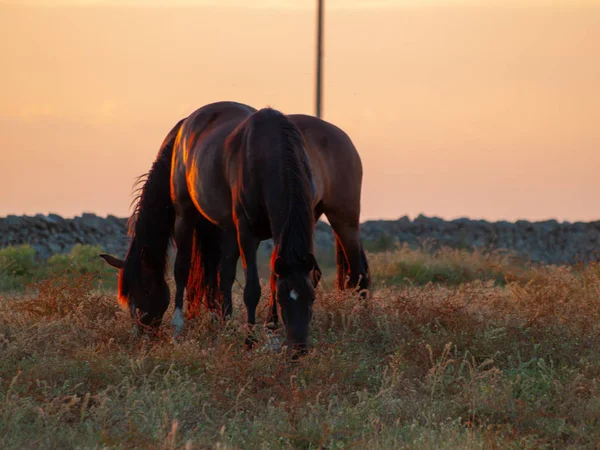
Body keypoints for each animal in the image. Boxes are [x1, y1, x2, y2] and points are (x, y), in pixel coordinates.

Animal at [101, 100, 368, 348]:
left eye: (142, 291)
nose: (143, 334)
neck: (269, 153)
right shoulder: (245, 231)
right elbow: (250, 286)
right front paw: (251, 338)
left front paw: (261, 335)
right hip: (190, 215)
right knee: (189, 269)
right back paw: (189, 327)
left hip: (344, 218)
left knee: (358, 271)